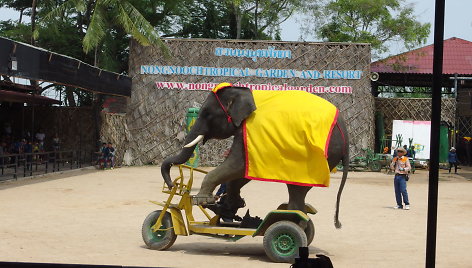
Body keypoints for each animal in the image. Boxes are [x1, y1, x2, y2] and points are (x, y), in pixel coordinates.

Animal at [162, 84, 350, 228]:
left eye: (207, 114)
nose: (171, 185)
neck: (244, 92)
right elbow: (242, 170)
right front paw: (231, 206)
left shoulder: (250, 129)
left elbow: (238, 164)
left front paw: (203, 200)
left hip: (316, 157)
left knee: (297, 190)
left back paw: (291, 221)